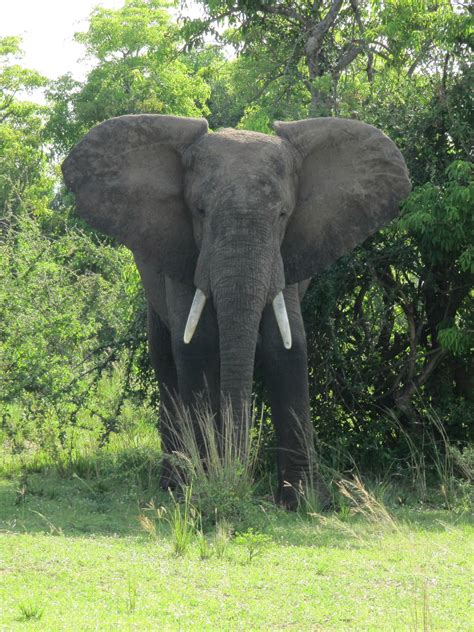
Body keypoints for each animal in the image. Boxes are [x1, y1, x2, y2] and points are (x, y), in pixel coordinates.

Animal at [62, 115, 412, 508]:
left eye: (283, 215)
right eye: (199, 211)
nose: (236, 480)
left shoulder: (287, 253)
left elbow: (288, 345)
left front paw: (304, 502)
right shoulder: (183, 249)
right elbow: (197, 344)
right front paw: (202, 486)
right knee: (165, 359)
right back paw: (173, 484)